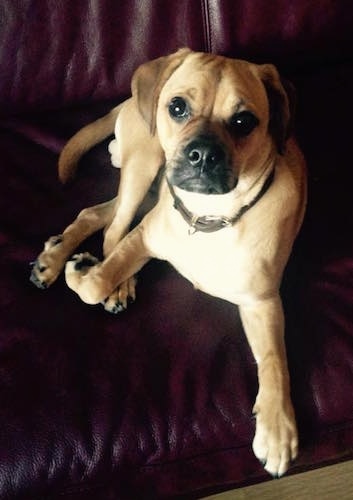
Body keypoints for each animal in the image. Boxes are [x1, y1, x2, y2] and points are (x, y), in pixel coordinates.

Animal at [30, 48, 306, 478]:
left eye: (244, 121)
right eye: (177, 107)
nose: (203, 155)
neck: (210, 216)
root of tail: (129, 99)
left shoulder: (262, 302)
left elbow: (275, 360)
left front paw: (278, 429)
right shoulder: (146, 234)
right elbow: (96, 281)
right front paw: (87, 272)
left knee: (97, 214)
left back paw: (56, 256)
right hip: (144, 166)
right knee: (113, 228)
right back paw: (88, 272)